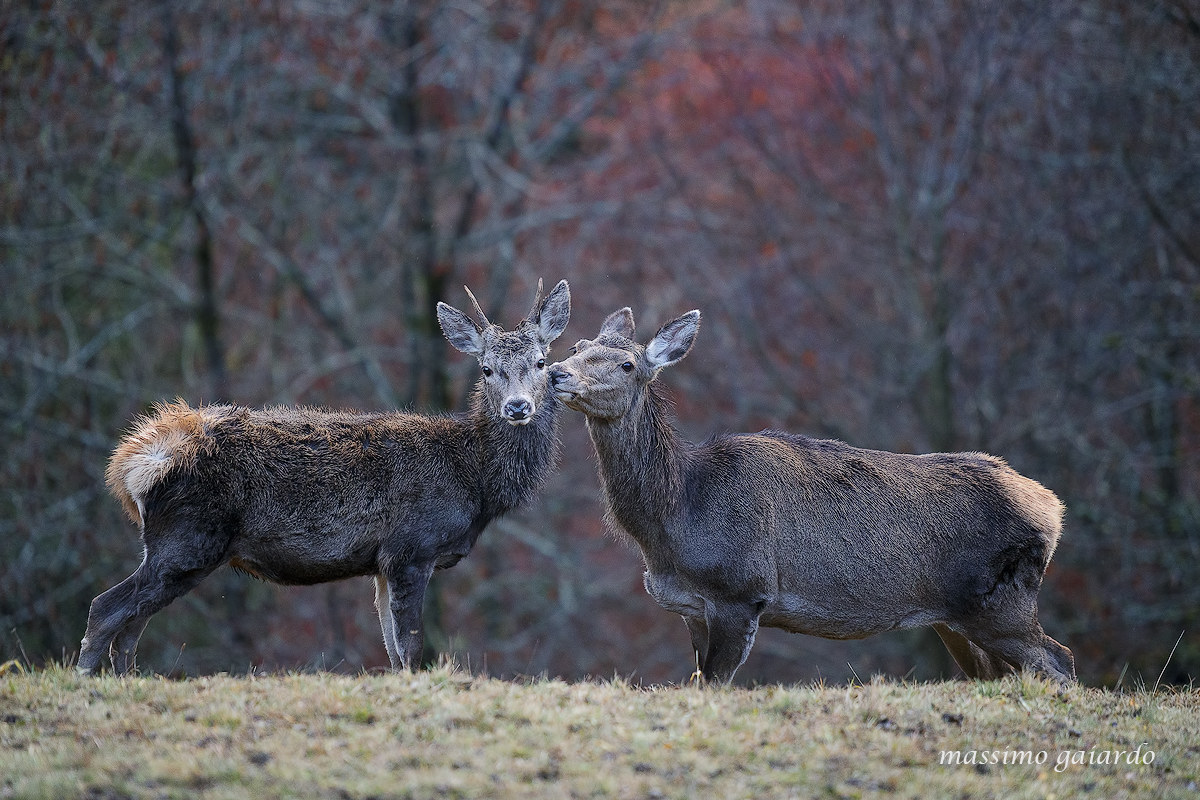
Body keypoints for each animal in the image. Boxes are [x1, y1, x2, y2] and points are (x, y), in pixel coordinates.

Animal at [78, 279, 571, 675]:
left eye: (541, 362)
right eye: (487, 369)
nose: (518, 406)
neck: (475, 480)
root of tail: (138, 463)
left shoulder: (381, 562)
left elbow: (393, 650)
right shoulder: (411, 546)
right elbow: (411, 648)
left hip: (172, 547)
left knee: (131, 624)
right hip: (188, 539)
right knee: (105, 608)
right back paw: (86, 680)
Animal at [548, 307, 1076, 686]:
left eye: (627, 363)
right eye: (577, 345)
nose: (556, 373)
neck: (674, 518)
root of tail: (1052, 510)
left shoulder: (741, 590)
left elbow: (715, 683)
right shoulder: (691, 607)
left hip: (999, 600)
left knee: (1059, 660)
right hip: (956, 617)